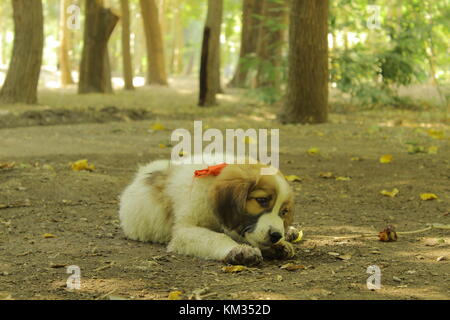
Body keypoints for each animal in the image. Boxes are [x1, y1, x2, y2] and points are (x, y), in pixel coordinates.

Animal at [119, 158, 300, 264]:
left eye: (284, 212)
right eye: (261, 201)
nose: (276, 235)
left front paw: (281, 243)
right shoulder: (184, 231)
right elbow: (216, 237)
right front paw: (238, 249)